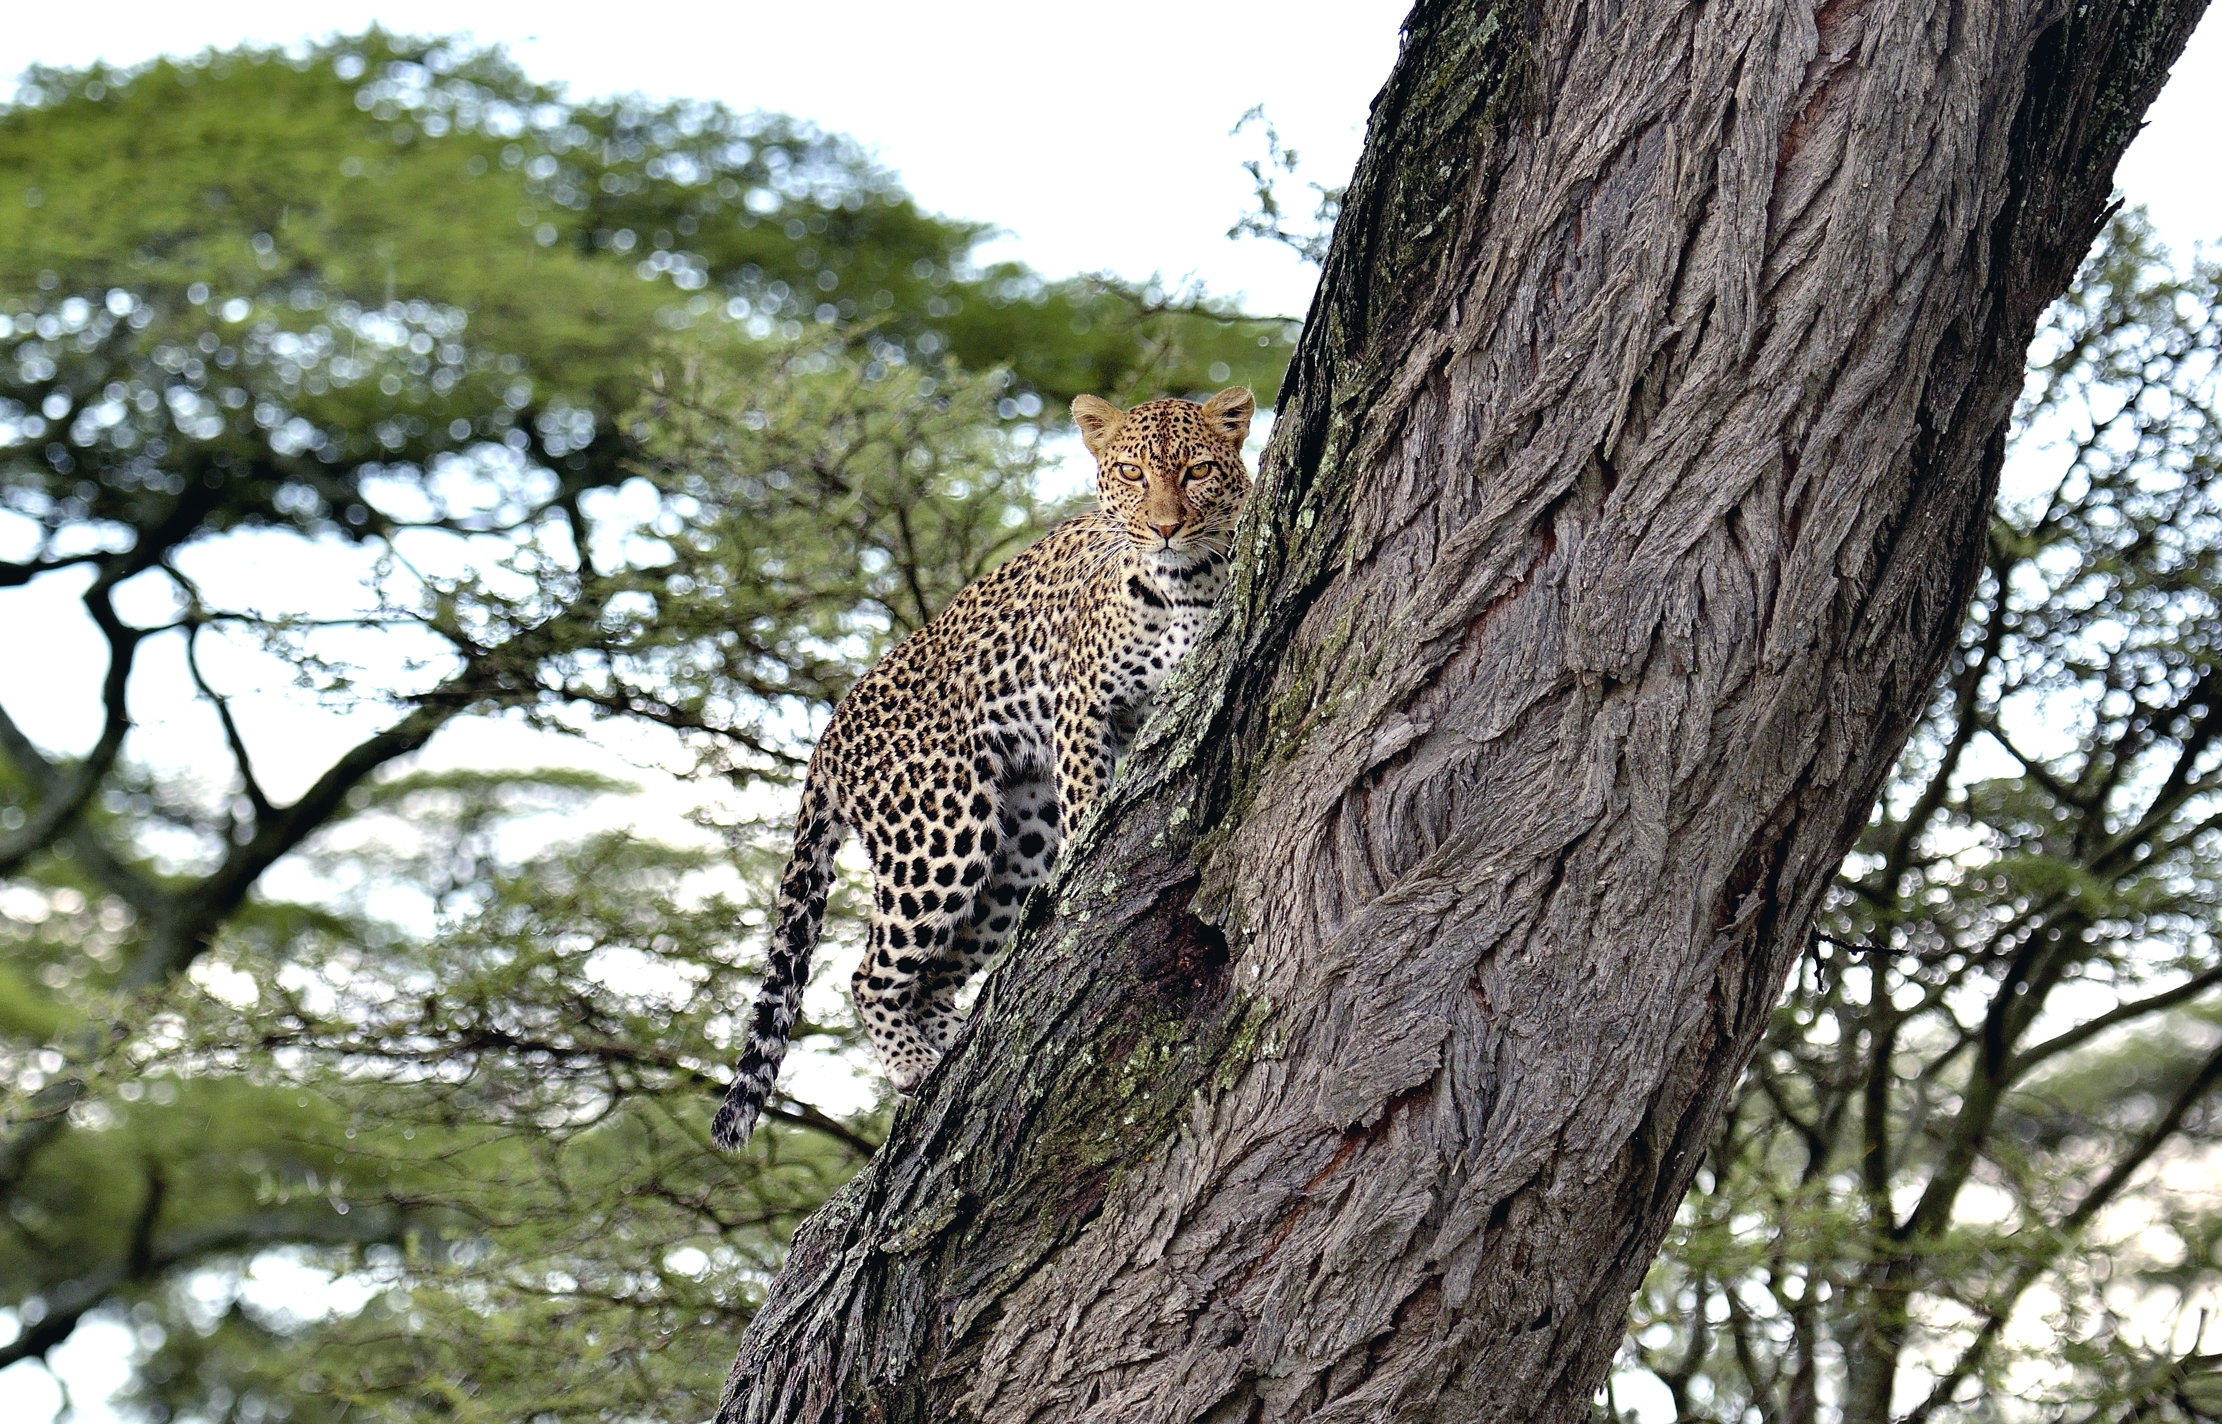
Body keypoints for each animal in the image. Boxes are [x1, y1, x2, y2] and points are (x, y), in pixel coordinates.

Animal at [711, 386, 1256, 1149]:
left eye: (1198, 470)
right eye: (1132, 474)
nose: (1167, 527)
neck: (1185, 582)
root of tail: (825, 738)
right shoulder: (1082, 707)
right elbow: (1090, 803)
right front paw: (1095, 862)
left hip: (1020, 839)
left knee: (936, 977)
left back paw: (948, 1046)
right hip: (939, 832)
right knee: (868, 972)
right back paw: (912, 1065)